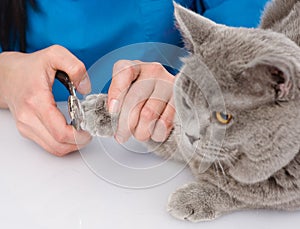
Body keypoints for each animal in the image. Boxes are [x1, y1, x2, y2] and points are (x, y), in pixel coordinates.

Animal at [79, 0, 300, 222]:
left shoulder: (285, 190)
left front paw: (192, 198)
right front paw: (99, 110)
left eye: (224, 116)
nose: (191, 135)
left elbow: (246, 193)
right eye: (186, 101)